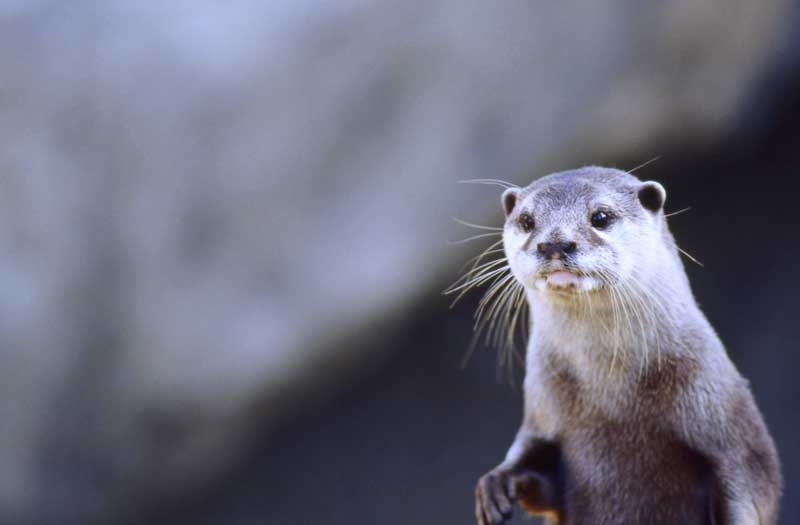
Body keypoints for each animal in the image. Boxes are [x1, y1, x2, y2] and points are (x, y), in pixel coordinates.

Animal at [468, 168, 780, 524]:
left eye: (600, 217)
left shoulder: (733, 435)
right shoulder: (542, 412)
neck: (612, 399)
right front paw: (497, 483)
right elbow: (535, 466)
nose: (555, 243)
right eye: (527, 219)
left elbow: (750, 486)